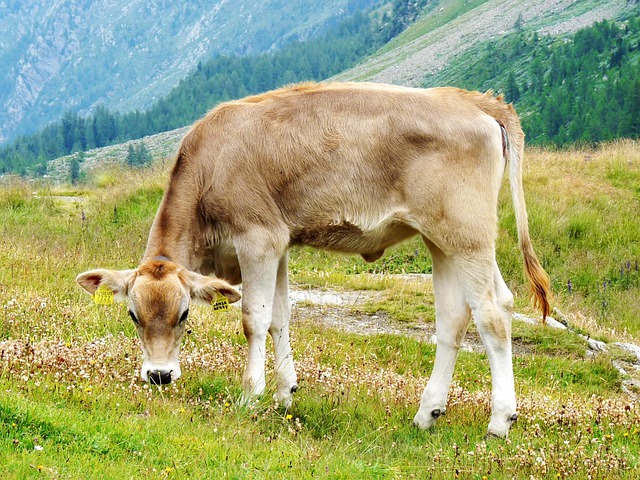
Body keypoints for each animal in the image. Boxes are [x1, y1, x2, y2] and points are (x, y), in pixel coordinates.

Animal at [76, 81, 550, 438]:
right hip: (444, 241)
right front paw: (285, 392)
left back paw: (499, 421)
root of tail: (473, 101)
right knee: (460, 315)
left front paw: (250, 395)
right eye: (133, 315)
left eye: (184, 315)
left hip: (468, 237)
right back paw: (427, 413)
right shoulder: (280, 243)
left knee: (491, 314)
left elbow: (254, 319)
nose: (158, 375)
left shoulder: (258, 239)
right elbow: (280, 317)